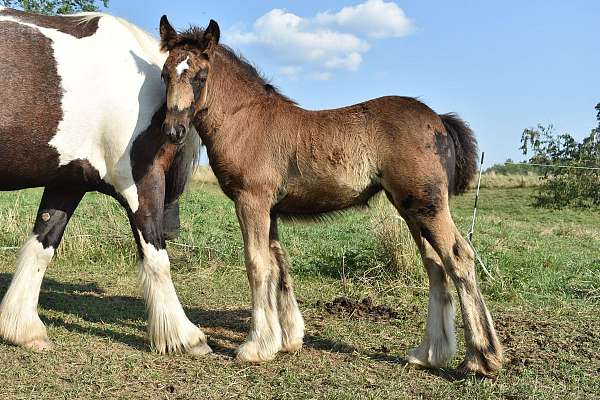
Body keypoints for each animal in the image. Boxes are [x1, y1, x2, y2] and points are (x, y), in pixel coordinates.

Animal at [0, 7, 211, 354]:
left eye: (200, 77)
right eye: (170, 76)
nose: (175, 227)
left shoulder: (67, 181)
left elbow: (42, 244)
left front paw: (22, 327)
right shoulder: (141, 182)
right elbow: (157, 257)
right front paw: (184, 336)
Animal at [157, 15, 504, 376]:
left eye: (200, 76)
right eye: (165, 74)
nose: (173, 131)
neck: (245, 120)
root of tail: (439, 120)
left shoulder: (251, 201)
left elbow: (257, 264)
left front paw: (256, 347)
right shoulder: (272, 209)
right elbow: (279, 264)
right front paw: (288, 339)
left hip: (428, 206)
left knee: (459, 257)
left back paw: (481, 357)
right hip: (411, 210)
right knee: (435, 266)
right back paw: (429, 353)